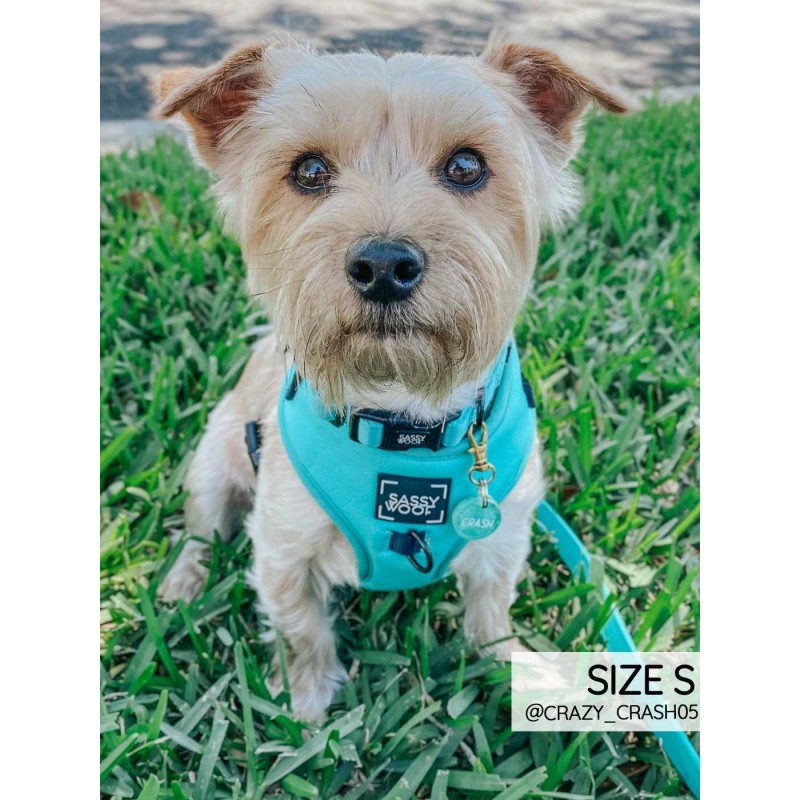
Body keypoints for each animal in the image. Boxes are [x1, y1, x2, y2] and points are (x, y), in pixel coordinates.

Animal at [155, 35, 624, 721]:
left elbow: (490, 614)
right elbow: (300, 630)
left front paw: (509, 670)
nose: (382, 264)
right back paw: (183, 584)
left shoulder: (504, 532)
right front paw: (304, 713)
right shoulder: (282, 546)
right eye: (309, 171)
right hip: (215, 460)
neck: (404, 420)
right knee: (200, 530)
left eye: (466, 166)